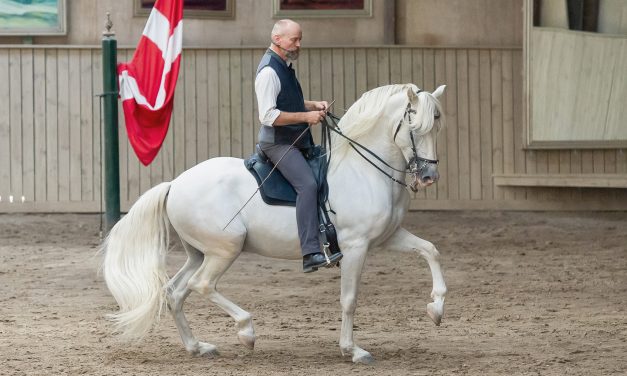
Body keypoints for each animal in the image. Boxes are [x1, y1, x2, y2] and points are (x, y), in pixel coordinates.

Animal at [102, 83, 446, 364]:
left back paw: (198, 347)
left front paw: (436, 309)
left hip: (199, 253)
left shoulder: (389, 236)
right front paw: (353, 350)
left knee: (175, 292)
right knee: (202, 284)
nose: (429, 177)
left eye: (436, 124)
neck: (364, 170)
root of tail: (174, 183)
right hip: (225, 249)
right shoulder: (356, 247)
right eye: (414, 125)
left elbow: (430, 250)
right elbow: (349, 300)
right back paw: (246, 331)